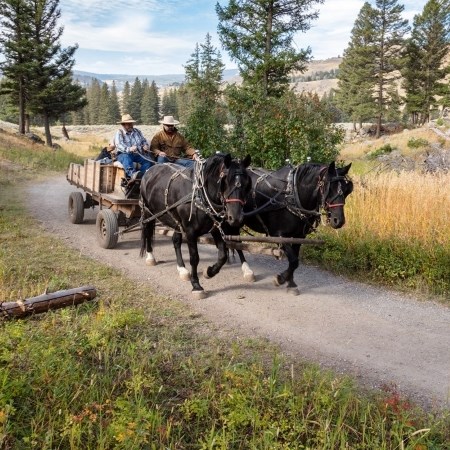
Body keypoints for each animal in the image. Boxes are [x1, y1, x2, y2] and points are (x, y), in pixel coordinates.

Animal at [140, 153, 251, 298]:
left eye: (246, 184)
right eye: (225, 181)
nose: (236, 218)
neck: (201, 195)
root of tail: (150, 170)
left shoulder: (215, 229)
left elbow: (223, 255)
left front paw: (209, 272)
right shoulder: (190, 231)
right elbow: (194, 258)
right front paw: (196, 285)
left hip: (176, 222)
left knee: (176, 240)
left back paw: (182, 269)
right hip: (148, 213)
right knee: (148, 233)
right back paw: (150, 257)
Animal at [230, 162, 354, 296]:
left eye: (347, 190)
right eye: (329, 188)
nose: (338, 221)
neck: (292, 195)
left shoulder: (299, 236)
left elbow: (294, 261)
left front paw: (291, 283)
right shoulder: (279, 235)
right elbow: (294, 260)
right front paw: (280, 279)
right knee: (236, 243)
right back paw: (247, 271)